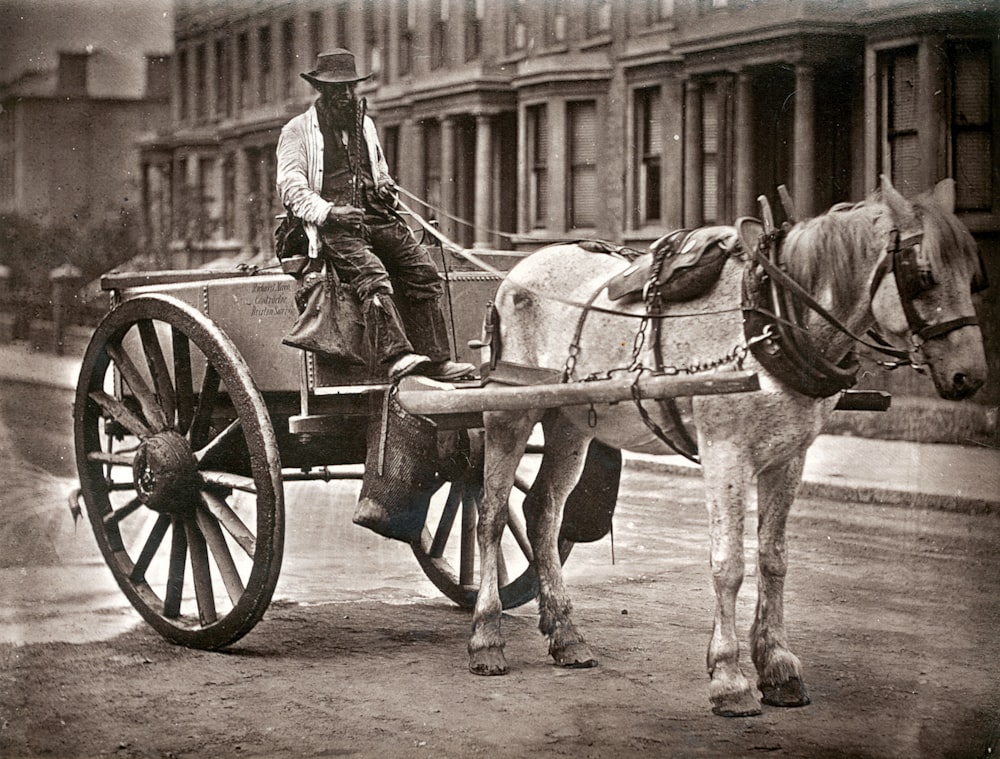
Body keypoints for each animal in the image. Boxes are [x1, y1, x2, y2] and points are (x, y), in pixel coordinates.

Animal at [468, 177, 984, 720]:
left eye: (974, 278)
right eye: (923, 276)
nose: (969, 377)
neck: (773, 318)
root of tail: (515, 273)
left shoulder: (789, 457)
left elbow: (774, 559)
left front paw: (778, 665)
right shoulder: (725, 451)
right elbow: (729, 563)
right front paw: (730, 678)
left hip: (569, 421)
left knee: (543, 513)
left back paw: (567, 634)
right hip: (508, 412)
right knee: (491, 517)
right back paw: (486, 637)